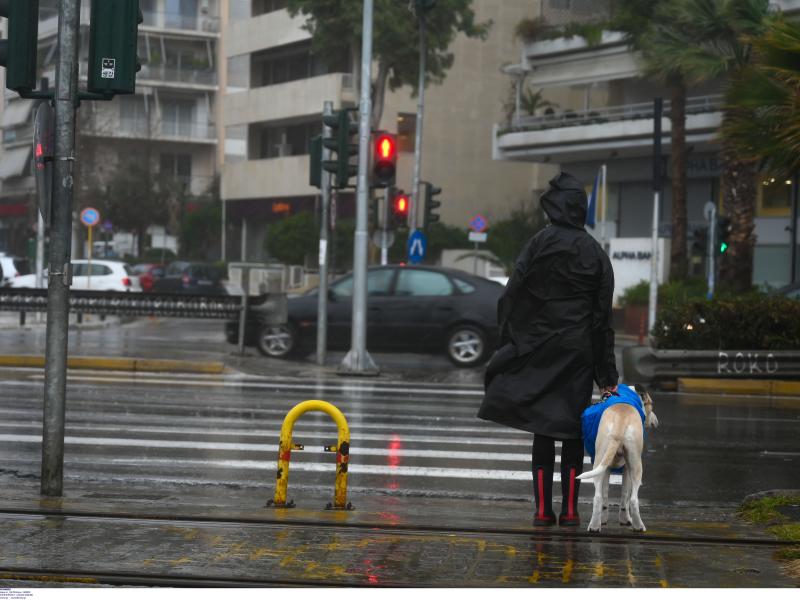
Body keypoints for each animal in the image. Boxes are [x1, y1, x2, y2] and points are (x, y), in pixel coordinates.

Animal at [580, 386, 660, 532]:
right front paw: (624, 519)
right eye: (651, 404)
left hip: (601, 460)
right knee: (631, 499)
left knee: (599, 497)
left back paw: (595, 526)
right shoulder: (626, 469)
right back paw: (637, 526)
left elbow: (608, 494)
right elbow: (624, 495)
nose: (656, 421)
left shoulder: (609, 468)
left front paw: (605, 519)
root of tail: (620, 420)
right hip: (635, 465)